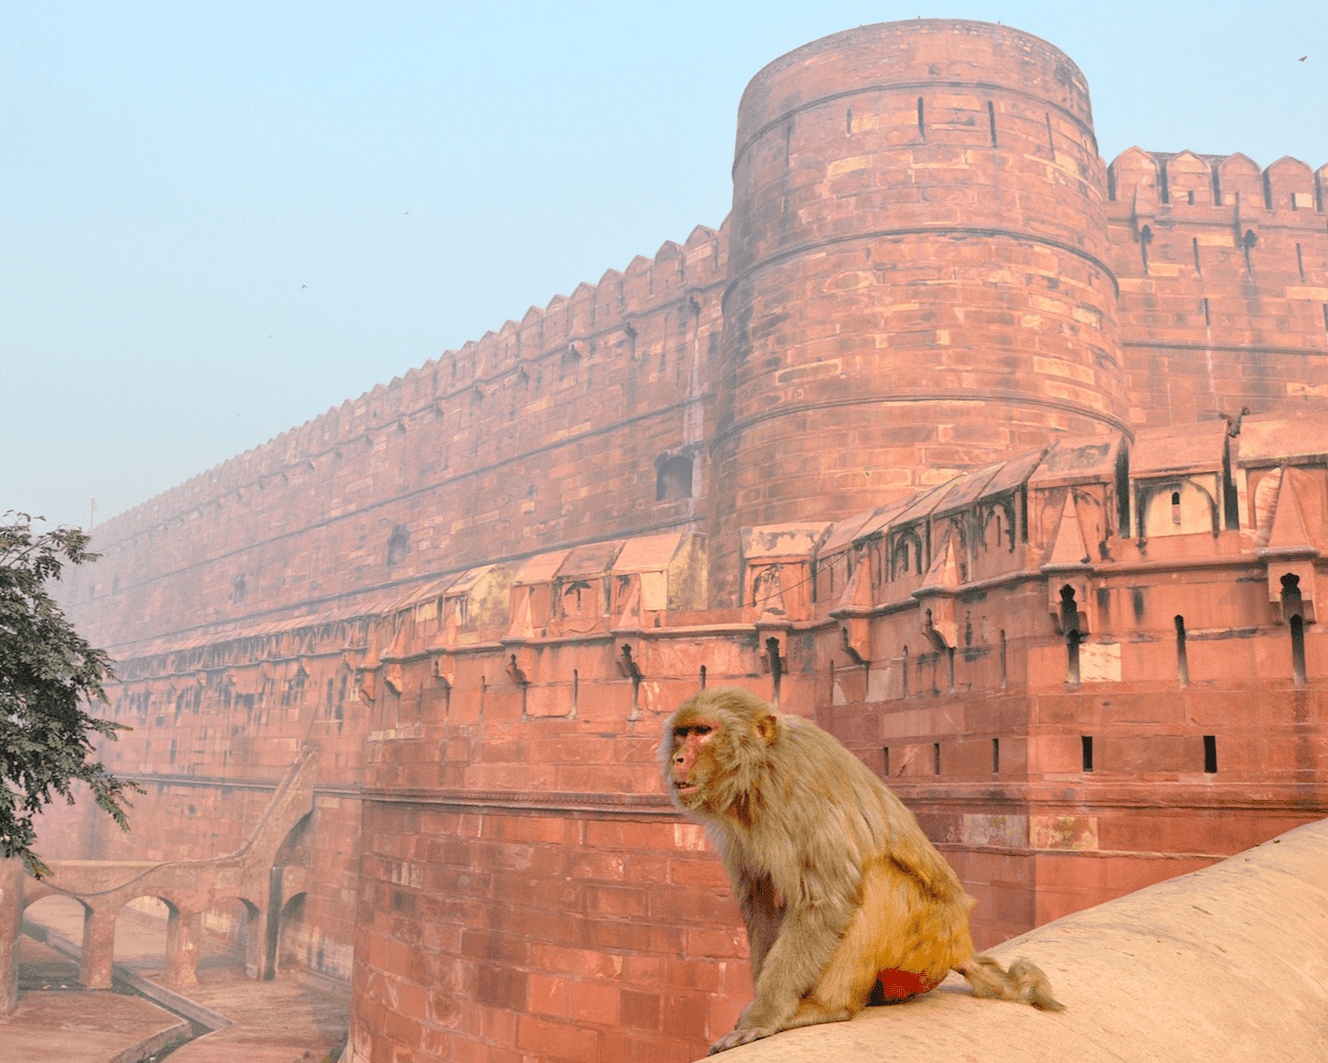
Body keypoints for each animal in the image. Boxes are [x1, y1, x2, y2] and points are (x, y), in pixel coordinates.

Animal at [658, 690, 1062, 1052]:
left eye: (703, 731)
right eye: (682, 733)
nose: (678, 758)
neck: (758, 772)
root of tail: (960, 947)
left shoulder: (797, 793)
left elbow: (826, 900)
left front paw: (766, 1015)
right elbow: (762, 902)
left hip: (927, 947)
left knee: (877, 878)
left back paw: (827, 1007)